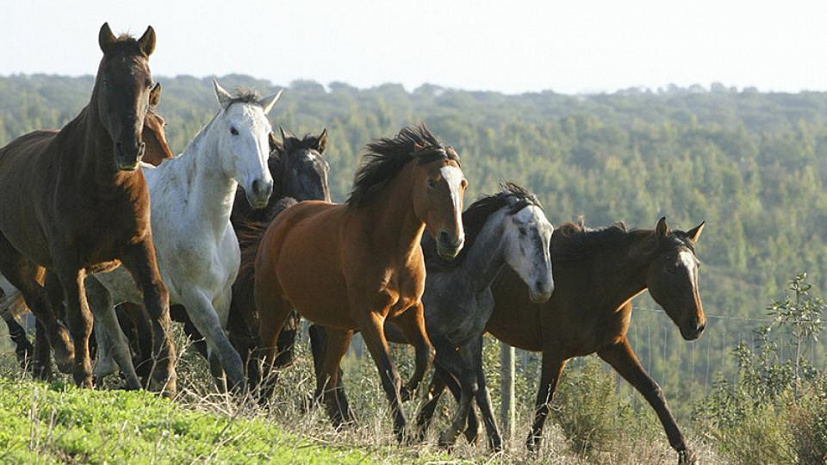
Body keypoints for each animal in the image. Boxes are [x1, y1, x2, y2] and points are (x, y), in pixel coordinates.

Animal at [0, 21, 178, 392]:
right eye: (108, 81)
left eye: (145, 81)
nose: (129, 149)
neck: (104, 187)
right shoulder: (71, 259)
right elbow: (80, 317)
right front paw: (82, 373)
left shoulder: (138, 246)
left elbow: (157, 298)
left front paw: (165, 378)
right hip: (15, 258)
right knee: (38, 300)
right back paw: (64, 353)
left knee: (46, 302)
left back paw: (46, 366)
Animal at [89, 80, 280, 392]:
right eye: (234, 130)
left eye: (267, 132)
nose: (261, 187)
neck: (204, 221)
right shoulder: (194, 298)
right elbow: (230, 357)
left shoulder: (221, 297)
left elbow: (216, 359)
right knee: (116, 343)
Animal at [256, 123, 468, 438]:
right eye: (432, 182)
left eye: (462, 183)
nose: (452, 241)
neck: (388, 246)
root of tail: (284, 217)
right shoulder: (370, 316)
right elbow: (389, 373)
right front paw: (402, 430)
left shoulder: (409, 310)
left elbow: (425, 353)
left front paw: (409, 392)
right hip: (274, 308)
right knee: (268, 359)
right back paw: (257, 404)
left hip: (338, 327)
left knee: (327, 374)